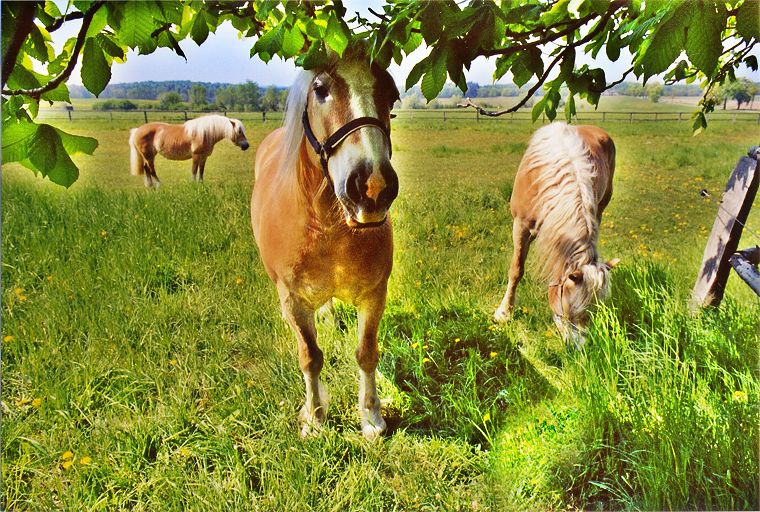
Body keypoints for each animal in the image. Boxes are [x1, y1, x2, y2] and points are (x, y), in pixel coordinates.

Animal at [251, 47, 400, 440]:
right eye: (320, 90)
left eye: (391, 94)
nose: (373, 185)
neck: (331, 229)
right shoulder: (293, 299)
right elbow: (311, 356)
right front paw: (315, 418)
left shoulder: (374, 294)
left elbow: (366, 352)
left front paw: (371, 418)